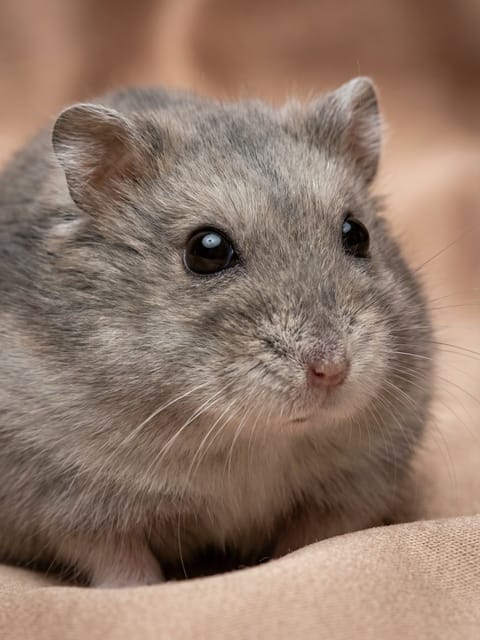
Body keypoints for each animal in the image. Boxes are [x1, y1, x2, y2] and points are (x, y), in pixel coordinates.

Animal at [0, 77, 433, 586]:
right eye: (207, 250)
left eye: (357, 234)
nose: (331, 371)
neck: (250, 437)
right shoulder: (69, 501)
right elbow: (118, 560)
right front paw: (141, 589)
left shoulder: (354, 484)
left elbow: (311, 543)